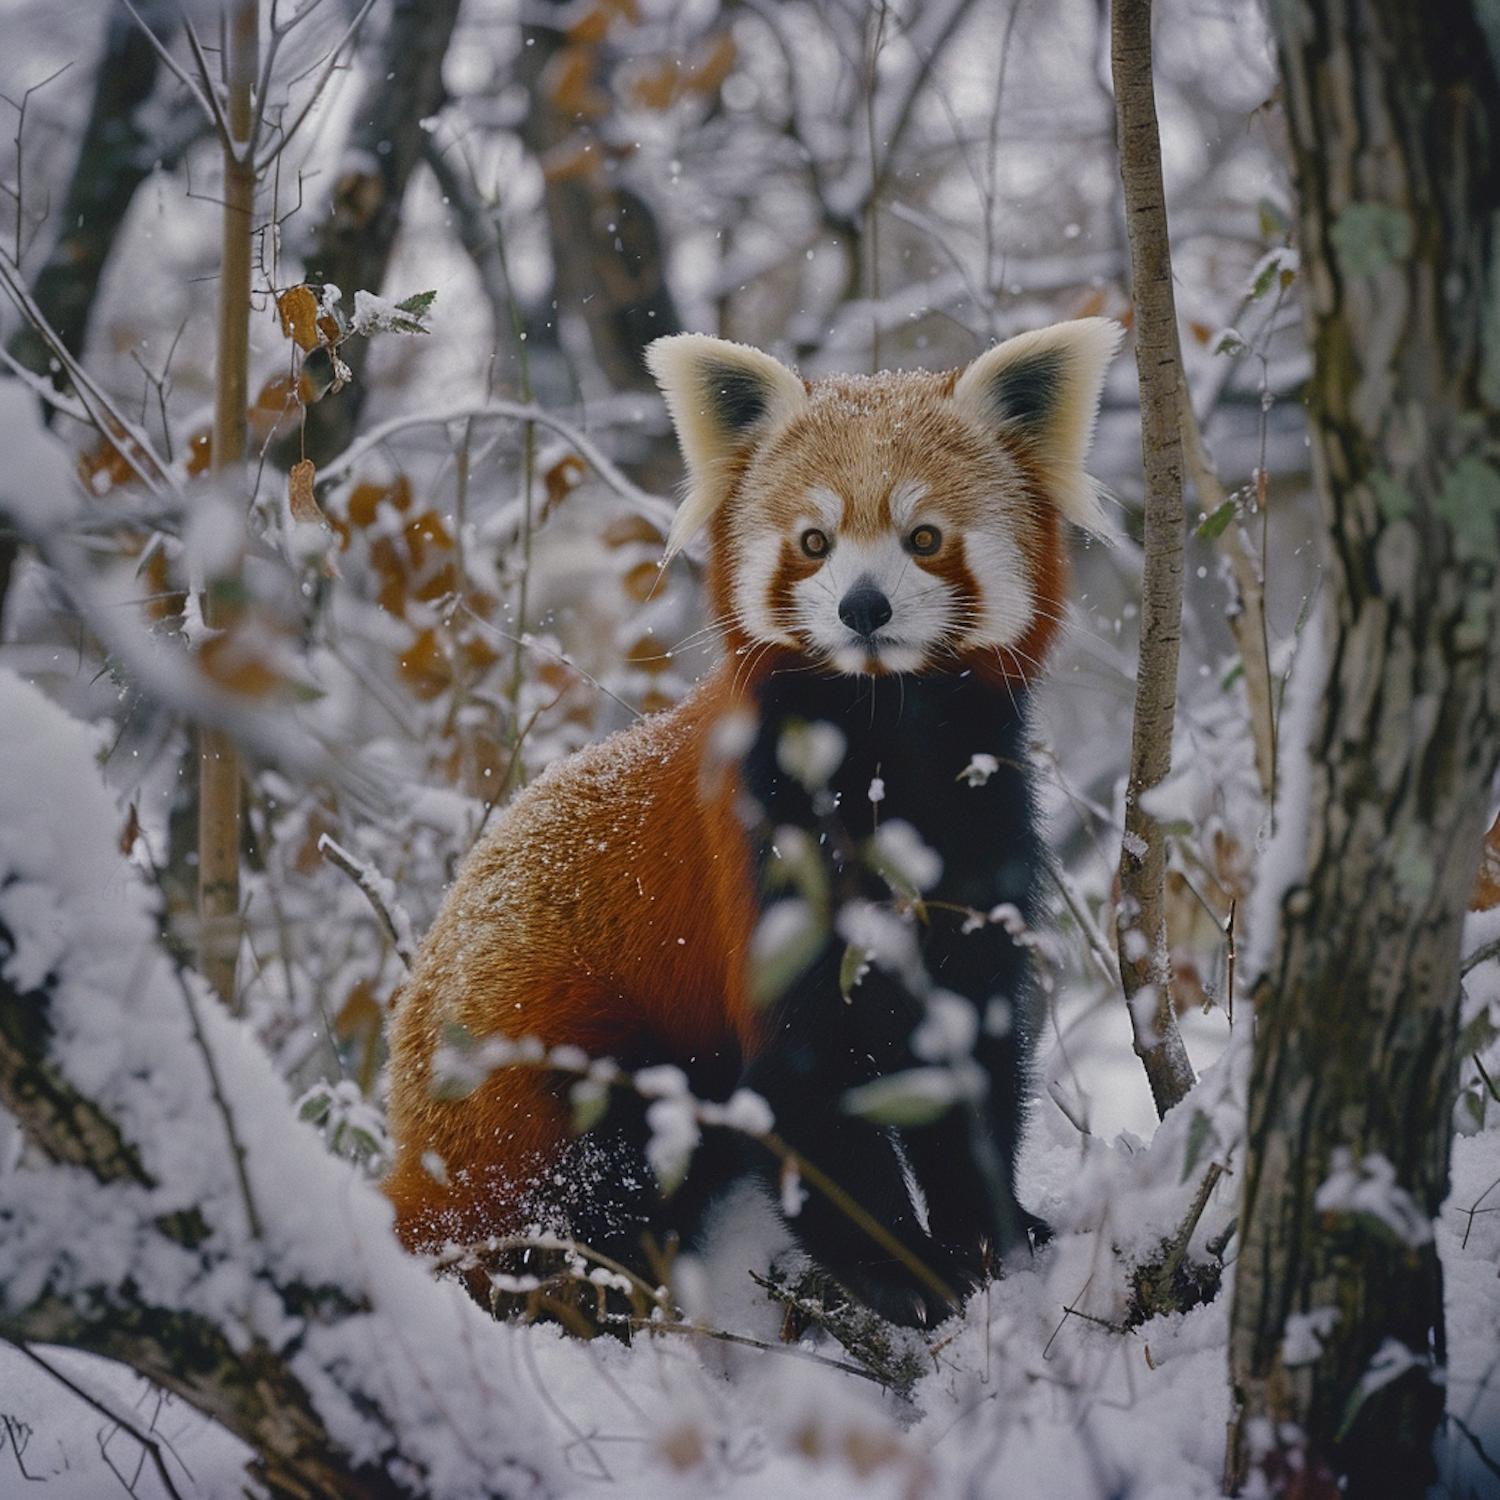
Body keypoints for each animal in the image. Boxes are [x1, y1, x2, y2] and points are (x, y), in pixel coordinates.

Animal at [381, 319, 1122, 1326]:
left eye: (924, 537)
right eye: (813, 541)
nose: (863, 606)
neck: (885, 740)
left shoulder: (983, 832)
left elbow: (971, 1045)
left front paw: (994, 1230)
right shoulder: (765, 857)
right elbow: (803, 1087)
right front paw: (904, 1269)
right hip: (541, 1062)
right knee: (585, 1179)